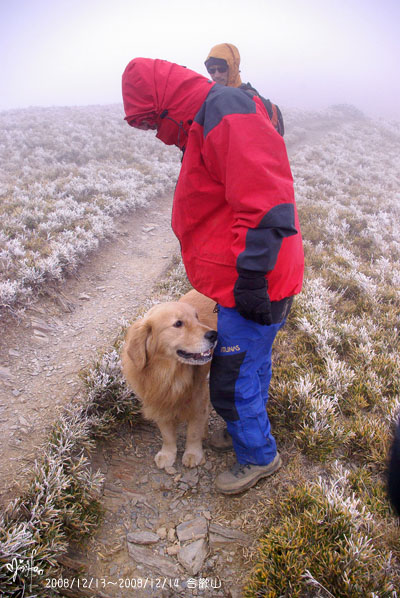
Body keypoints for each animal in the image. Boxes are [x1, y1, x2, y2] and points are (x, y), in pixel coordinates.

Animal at [121, 290, 217, 468]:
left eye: (197, 317)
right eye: (178, 324)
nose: (214, 334)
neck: (169, 374)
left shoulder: (198, 398)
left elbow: (193, 431)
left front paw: (193, 453)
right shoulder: (157, 402)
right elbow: (167, 434)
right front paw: (168, 454)